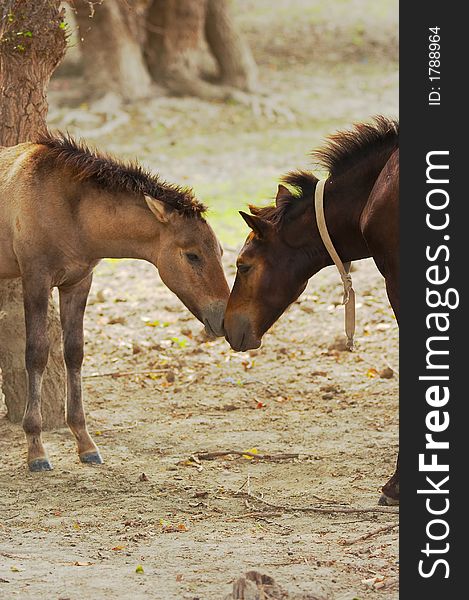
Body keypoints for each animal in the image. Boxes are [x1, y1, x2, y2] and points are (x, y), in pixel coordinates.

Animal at [0, 134, 229, 472]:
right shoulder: (36, 280)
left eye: (221, 252)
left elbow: (74, 353)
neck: (70, 212)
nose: (223, 318)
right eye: (192, 255)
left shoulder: (78, 283)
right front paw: (36, 450)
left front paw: (85, 443)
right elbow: (37, 354)